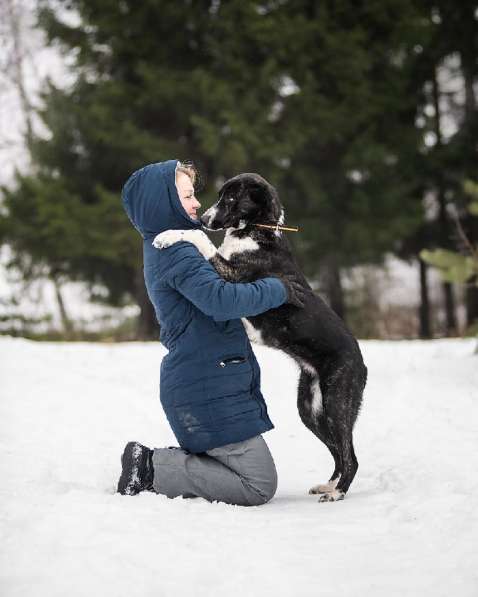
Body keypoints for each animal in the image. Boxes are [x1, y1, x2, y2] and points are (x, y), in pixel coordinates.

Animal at [155, 172, 368, 502]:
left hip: (337, 403)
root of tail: (362, 364)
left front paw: (168, 235)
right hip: (310, 410)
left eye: (230, 198)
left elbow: (203, 241)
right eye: (220, 196)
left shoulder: (231, 274)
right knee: (338, 452)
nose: (203, 218)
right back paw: (329, 485)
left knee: (351, 456)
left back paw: (337, 493)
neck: (259, 230)